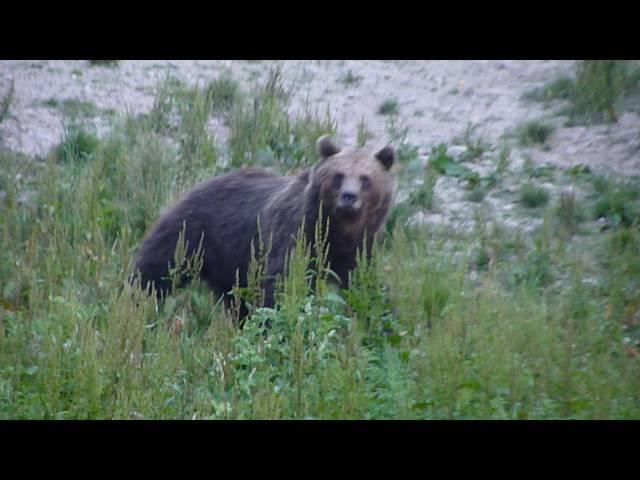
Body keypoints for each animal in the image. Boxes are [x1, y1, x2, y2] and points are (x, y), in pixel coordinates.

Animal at [134, 135, 396, 320]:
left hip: (233, 265)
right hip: (193, 234)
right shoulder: (297, 235)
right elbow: (282, 283)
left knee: (237, 300)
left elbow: (364, 285)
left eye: (365, 178)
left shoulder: (360, 249)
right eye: (339, 175)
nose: (349, 197)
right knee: (155, 269)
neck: (339, 230)